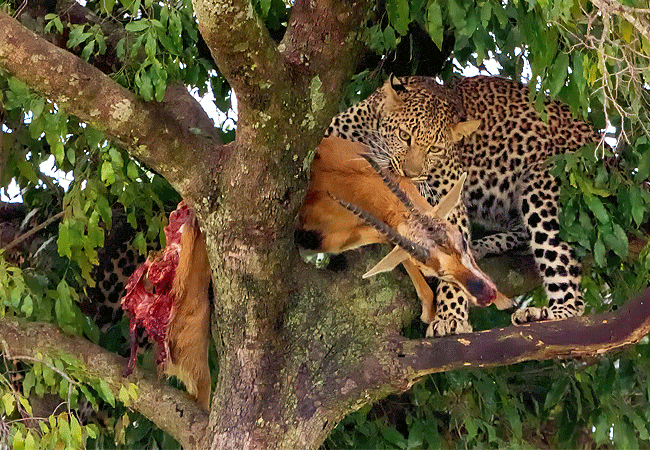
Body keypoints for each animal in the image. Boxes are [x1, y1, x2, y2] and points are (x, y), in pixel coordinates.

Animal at [325, 74, 601, 337]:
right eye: (404, 136)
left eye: (434, 149)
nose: (410, 175)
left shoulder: (449, 200)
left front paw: (450, 318)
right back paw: (481, 247)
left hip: (544, 184)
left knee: (561, 268)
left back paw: (549, 313)